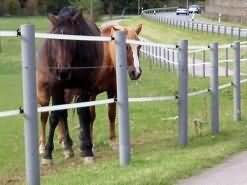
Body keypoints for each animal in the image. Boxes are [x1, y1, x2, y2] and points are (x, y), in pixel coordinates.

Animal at [37, 6, 103, 165]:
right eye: (54, 41)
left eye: (71, 40)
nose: (63, 71)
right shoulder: (56, 86)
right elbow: (55, 115)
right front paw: (47, 154)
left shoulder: (83, 86)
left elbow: (83, 113)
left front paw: (87, 150)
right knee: (58, 113)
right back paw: (64, 146)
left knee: (83, 113)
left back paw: (81, 145)